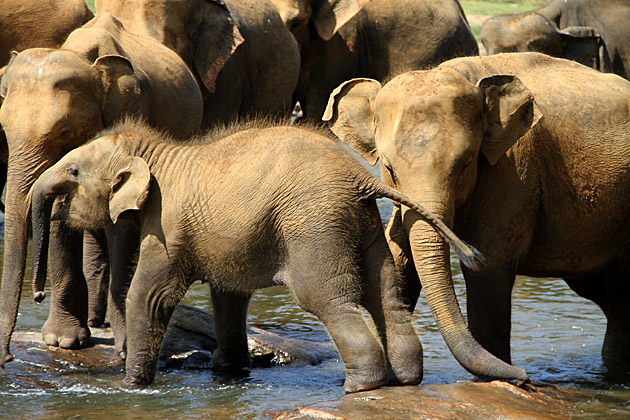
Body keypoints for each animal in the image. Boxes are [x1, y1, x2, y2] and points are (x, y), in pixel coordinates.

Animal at [0, 13, 202, 368]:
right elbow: (60, 213)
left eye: (65, 131)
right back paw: (95, 321)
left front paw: (125, 350)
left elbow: (122, 227)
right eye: (3, 129)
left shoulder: (132, 117)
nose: (8, 358)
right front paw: (64, 340)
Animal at [29, 120, 484, 392]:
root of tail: (361, 176)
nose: (36, 295)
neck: (154, 151)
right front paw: (226, 371)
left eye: (72, 171)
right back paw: (404, 380)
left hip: (315, 223)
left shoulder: (166, 222)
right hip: (364, 223)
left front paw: (132, 389)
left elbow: (149, 296)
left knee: (325, 298)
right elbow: (228, 294)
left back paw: (360, 387)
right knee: (384, 293)